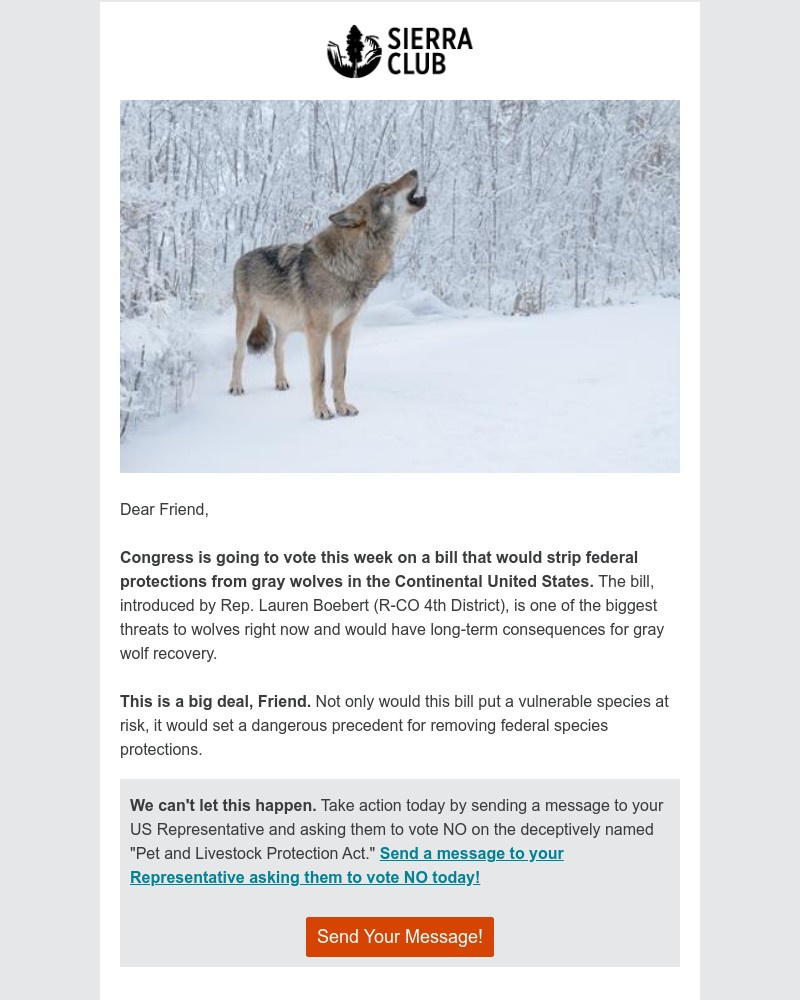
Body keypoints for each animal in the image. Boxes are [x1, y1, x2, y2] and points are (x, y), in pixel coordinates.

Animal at [229, 169, 427, 418]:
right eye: (383, 188)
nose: (415, 171)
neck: (349, 264)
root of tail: (242, 257)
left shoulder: (342, 331)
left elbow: (340, 373)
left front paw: (343, 407)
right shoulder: (317, 332)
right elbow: (320, 374)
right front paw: (322, 411)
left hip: (285, 325)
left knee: (277, 350)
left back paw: (281, 382)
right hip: (248, 319)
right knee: (238, 354)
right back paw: (236, 387)